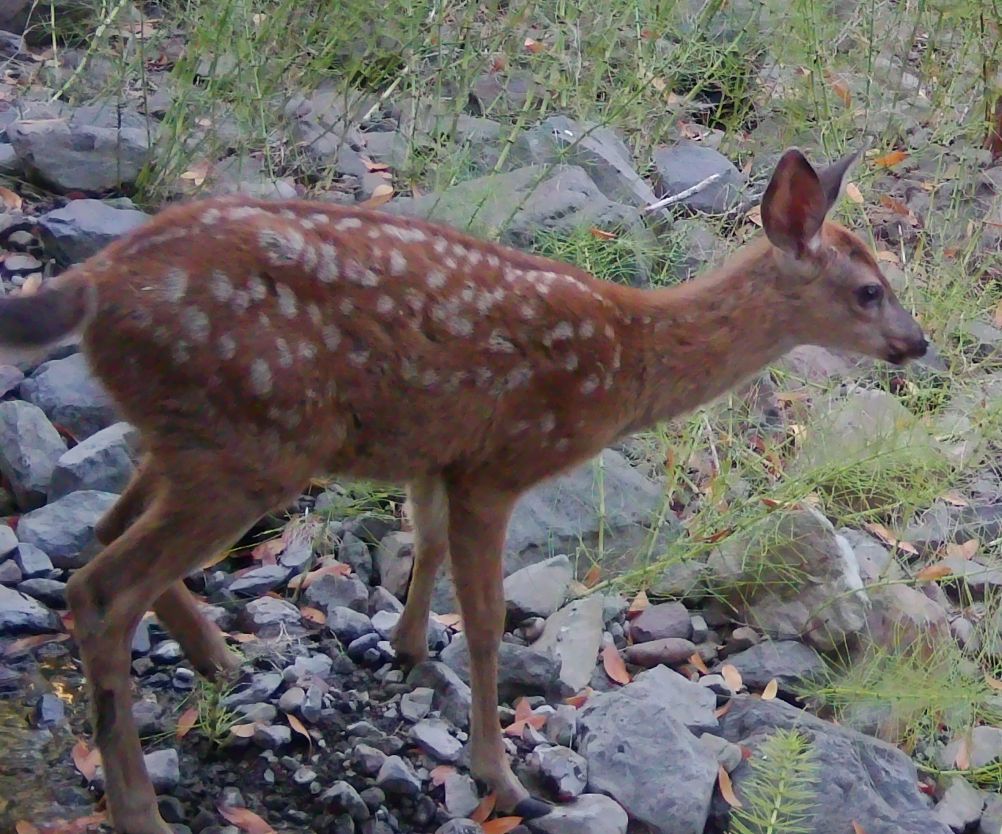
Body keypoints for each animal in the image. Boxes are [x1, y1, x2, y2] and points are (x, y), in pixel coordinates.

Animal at [0, 147, 926, 833]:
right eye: (867, 290)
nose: (917, 343)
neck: (626, 361)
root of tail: (96, 283)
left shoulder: (437, 455)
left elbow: (427, 542)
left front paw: (406, 646)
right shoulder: (500, 462)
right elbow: (484, 623)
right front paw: (500, 777)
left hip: (196, 436)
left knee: (104, 529)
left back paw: (218, 656)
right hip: (250, 443)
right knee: (102, 588)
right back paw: (138, 807)